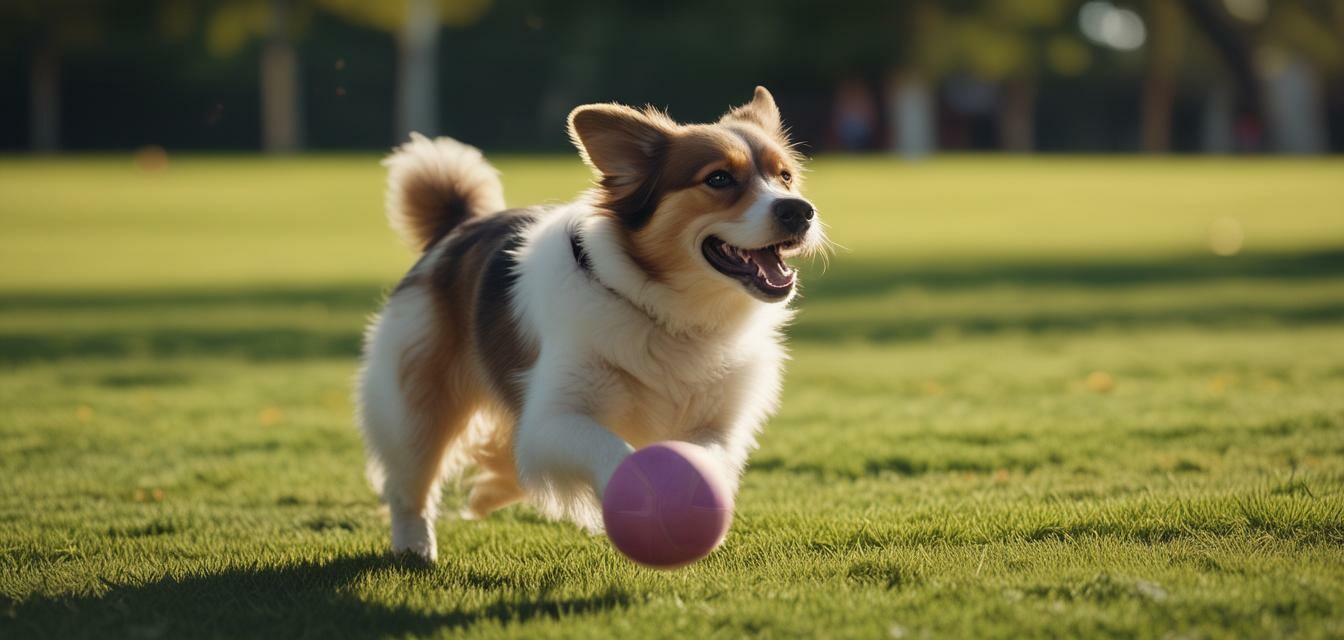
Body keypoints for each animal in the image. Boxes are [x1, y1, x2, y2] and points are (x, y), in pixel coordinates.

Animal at [352, 86, 822, 559]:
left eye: (784, 176)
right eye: (720, 179)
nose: (800, 211)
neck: (669, 313)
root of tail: (459, 226)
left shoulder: (719, 424)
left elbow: (702, 459)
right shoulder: (551, 420)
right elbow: (616, 452)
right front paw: (647, 500)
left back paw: (489, 495)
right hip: (412, 405)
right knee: (410, 486)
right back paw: (415, 548)